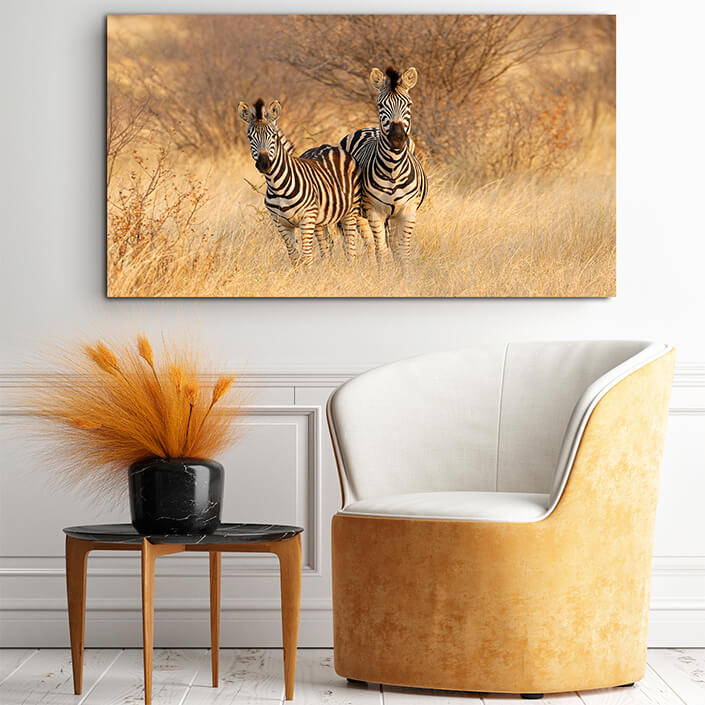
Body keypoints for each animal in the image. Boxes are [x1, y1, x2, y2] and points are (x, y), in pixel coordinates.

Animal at [238, 99, 361, 265]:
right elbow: (294, 257)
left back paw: (350, 267)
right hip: (321, 220)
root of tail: (330, 147)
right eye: (250, 137)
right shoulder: (281, 224)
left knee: (349, 246)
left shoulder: (307, 219)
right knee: (327, 245)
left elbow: (307, 257)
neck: (277, 186)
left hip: (350, 211)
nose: (264, 164)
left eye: (273, 136)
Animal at [340, 67, 427, 265]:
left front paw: (404, 273)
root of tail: (369, 128)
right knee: (367, 245)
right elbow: (381, 250)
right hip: (358, 212)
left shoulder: (408, 212)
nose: (397, 138)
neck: (393, 168)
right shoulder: (375, 211)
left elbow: (402, 251)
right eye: (380, 106)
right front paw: (383, 272)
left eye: (409, 105)